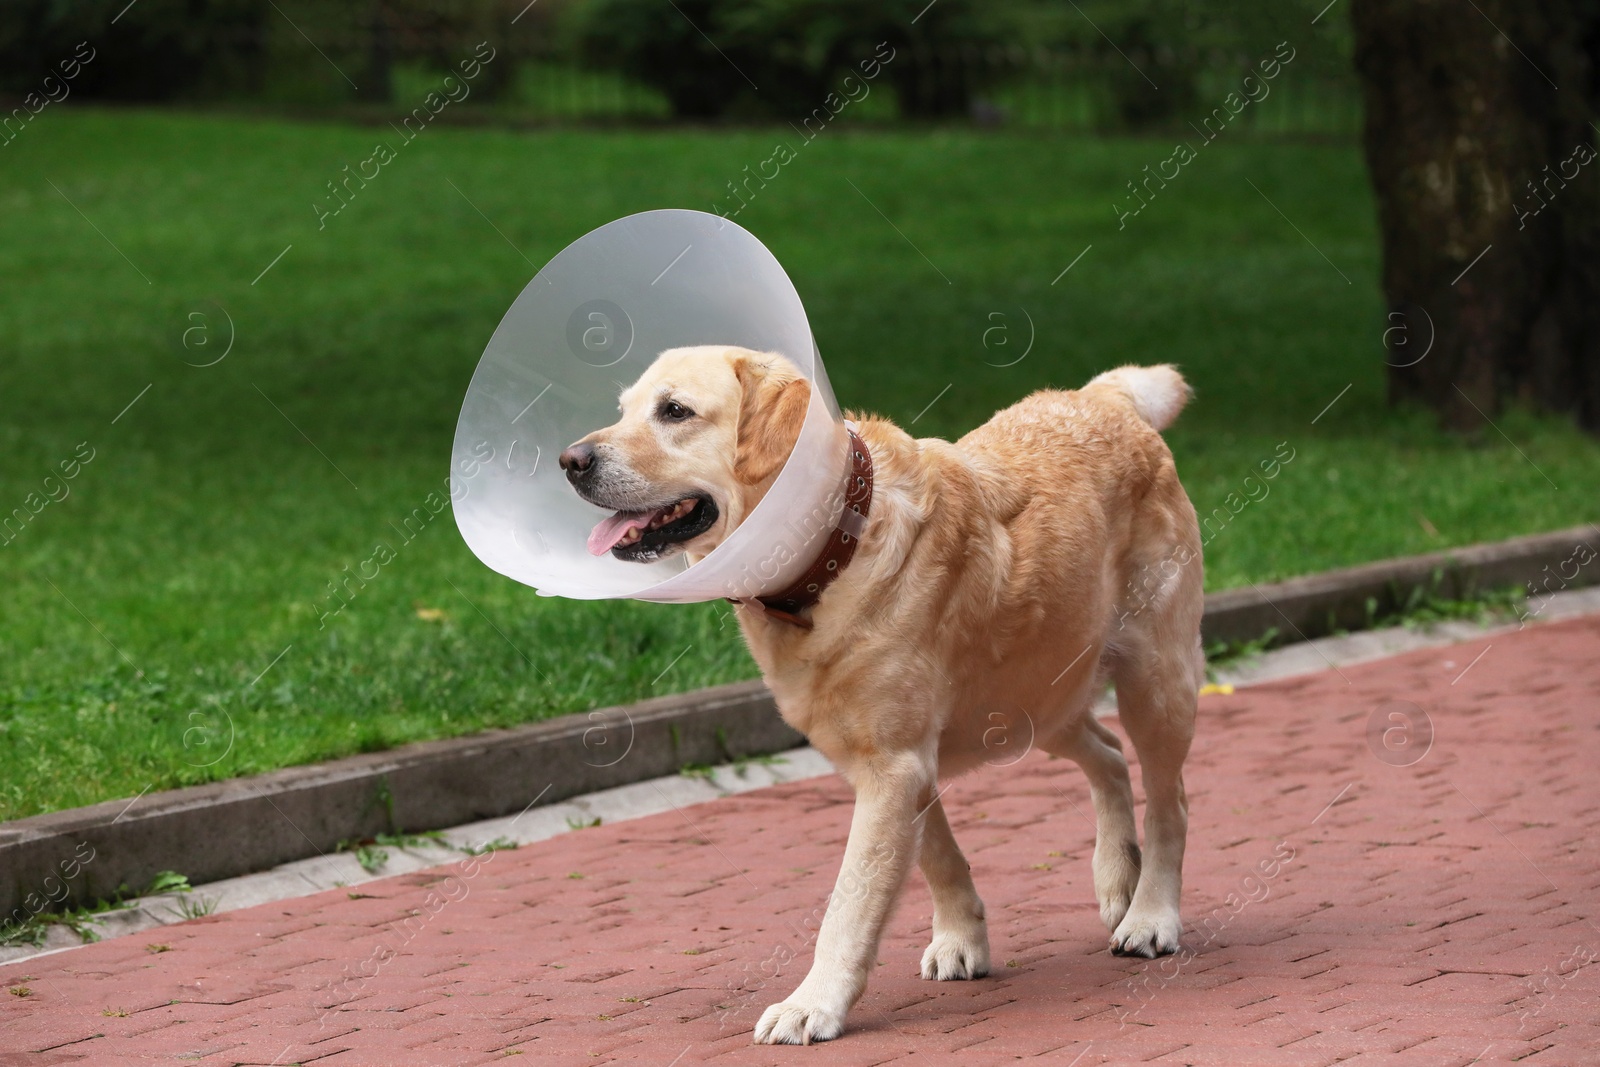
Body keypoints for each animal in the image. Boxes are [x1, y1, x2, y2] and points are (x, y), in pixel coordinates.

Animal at [556, 348, 1196, 1043]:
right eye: (623, 409)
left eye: (674, 411)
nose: (570, 460)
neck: (837, 546)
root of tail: (1105, 397)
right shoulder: (891, 761)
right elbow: (937, 856)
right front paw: (962, 939)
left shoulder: (893, 765)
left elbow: (851, 900)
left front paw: (812, 1005)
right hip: (1030, 704)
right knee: (1106, 754)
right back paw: (1117, 877)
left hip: (1155, 684)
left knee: (1169, 802)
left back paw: (1150, 914)